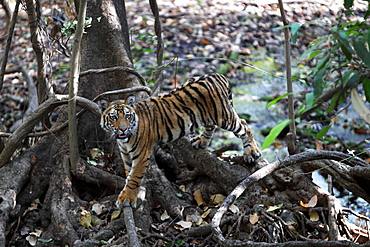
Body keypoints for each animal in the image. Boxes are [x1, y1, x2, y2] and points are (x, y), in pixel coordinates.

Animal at [98, 73, 260, 208]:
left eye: (127, 116)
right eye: (113, 117)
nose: (123, 129)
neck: (124, 140)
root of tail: (217, 75)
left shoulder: (141, 154)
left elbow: (134, 177)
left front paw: (127, 198)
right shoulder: (125, 153)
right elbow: (128, 171)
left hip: (224, 116)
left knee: (244, 124)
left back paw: (251, 153)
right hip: (207, 115)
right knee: (211, 126)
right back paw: (200, 142)